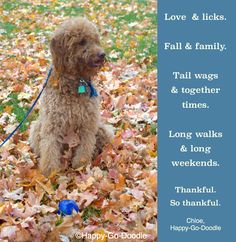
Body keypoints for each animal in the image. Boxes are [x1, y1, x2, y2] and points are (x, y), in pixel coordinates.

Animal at [29, 17, 114, 176]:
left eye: (95, 39)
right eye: (81, 41)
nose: (102, 55)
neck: (75, 82)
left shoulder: (88, 123)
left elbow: (85, 147)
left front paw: (81, 165)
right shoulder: (52, 123)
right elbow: (49, 149)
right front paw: (50, 172)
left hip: (102, 129)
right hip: (37, 127)